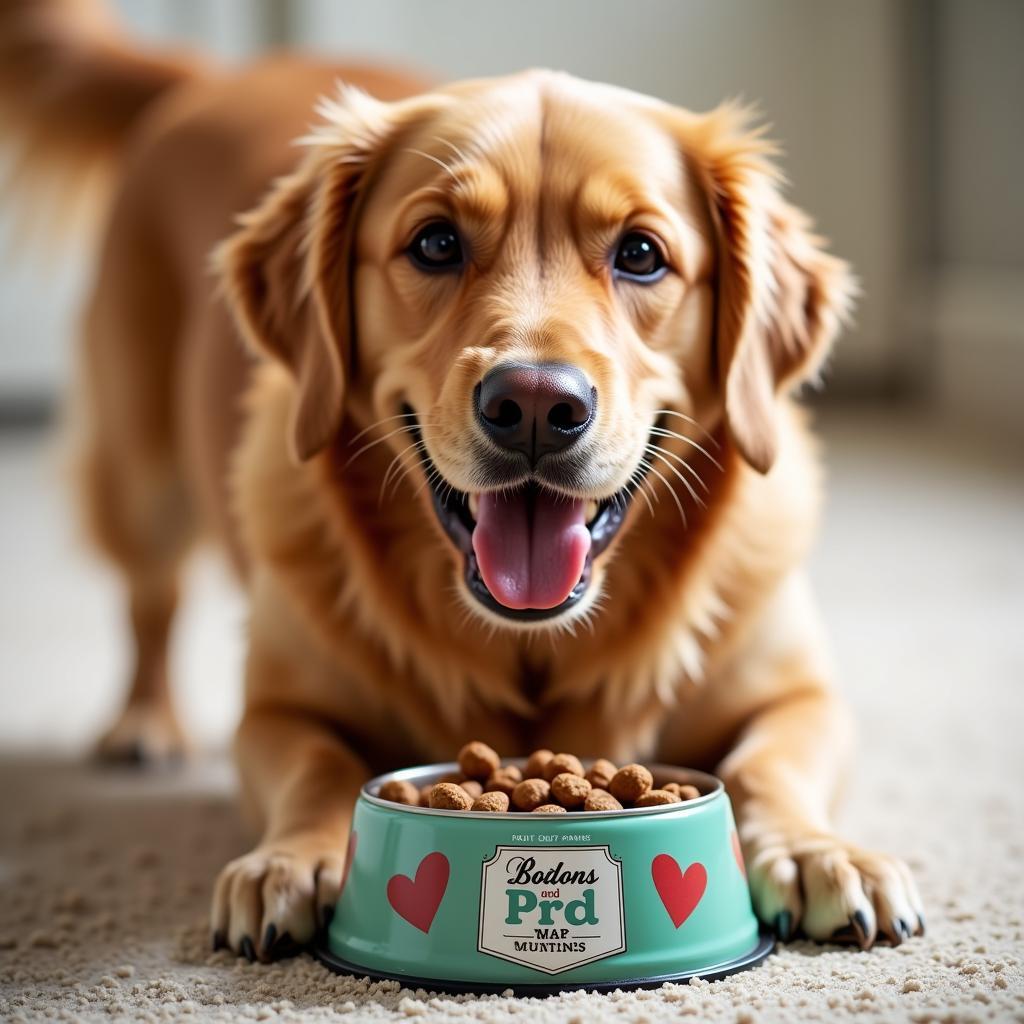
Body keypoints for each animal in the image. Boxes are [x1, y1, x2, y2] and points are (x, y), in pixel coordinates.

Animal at [2, 0, 929, 958]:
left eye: (641, 253)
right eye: (436, 242)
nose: (536, 405)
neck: (531, 647)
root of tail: (216, 76)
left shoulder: (800, 696)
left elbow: (766, 765)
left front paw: (819, 851)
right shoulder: (277, 713)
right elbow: (320, 764)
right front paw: (291, 860)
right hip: (141, 467)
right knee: (149, 599)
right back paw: (143, 720)